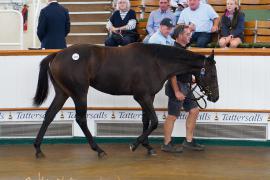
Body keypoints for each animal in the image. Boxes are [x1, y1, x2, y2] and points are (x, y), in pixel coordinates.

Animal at [33, 42, 219, 158]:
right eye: (212, 74)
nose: (215, 97)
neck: (156, 62)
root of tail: (57, 54)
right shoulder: (142, 96)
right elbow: (154, 121)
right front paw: (135, 145)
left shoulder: (147, 97)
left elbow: (146, 121)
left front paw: (148, 147)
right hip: (79, 93)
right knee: (80, 119)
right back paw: (98, 150)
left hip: (62, 93)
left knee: (49, 115)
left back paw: (38, 149)